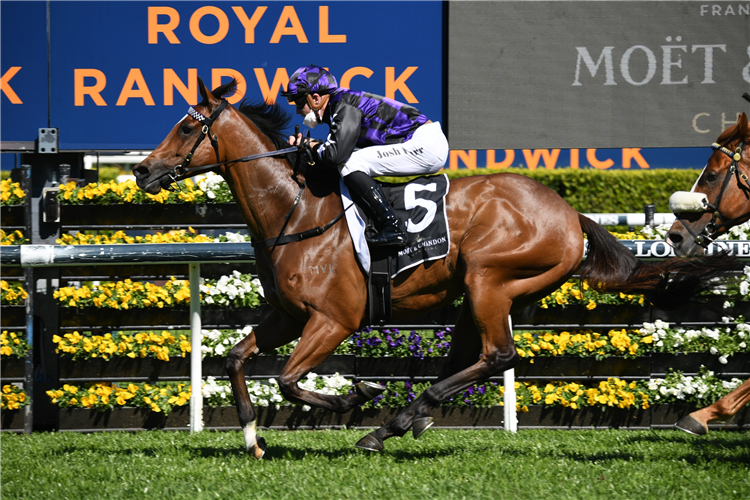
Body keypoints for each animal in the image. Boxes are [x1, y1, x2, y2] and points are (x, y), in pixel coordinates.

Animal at [134, 78, 738, 458]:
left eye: (187, 127)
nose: (142, 170)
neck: (297, 212)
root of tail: (569, 213)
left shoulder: (334, 320)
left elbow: (286, 380)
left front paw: (357, 395)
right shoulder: (287, 315)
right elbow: (236, 359)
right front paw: (252, 440)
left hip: (489, 278)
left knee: (499, 355)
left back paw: (397, 420)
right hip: (483, 291)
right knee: (473, 356)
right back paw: (407, 419)